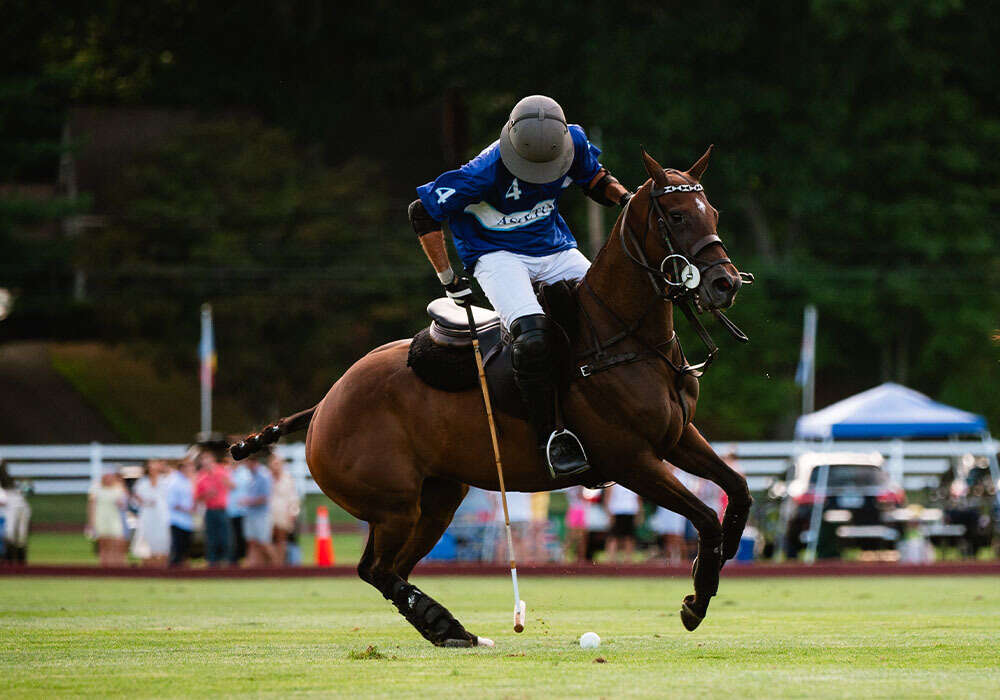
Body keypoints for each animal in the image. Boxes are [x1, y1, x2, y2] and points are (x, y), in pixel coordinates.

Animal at [234, 146, 752, 644]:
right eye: (677, 216)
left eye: (713, 213)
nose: (724, 283)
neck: (626, 336)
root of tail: (325, 403)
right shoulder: (631, 461)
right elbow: (706, 516)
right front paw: (696, 599)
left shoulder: (677, 437)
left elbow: (738, 489)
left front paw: (718, 560)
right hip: (394, 505)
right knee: (375, 569)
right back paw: (445, 624)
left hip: (438, 497)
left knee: (389, 568)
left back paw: (446, 629)